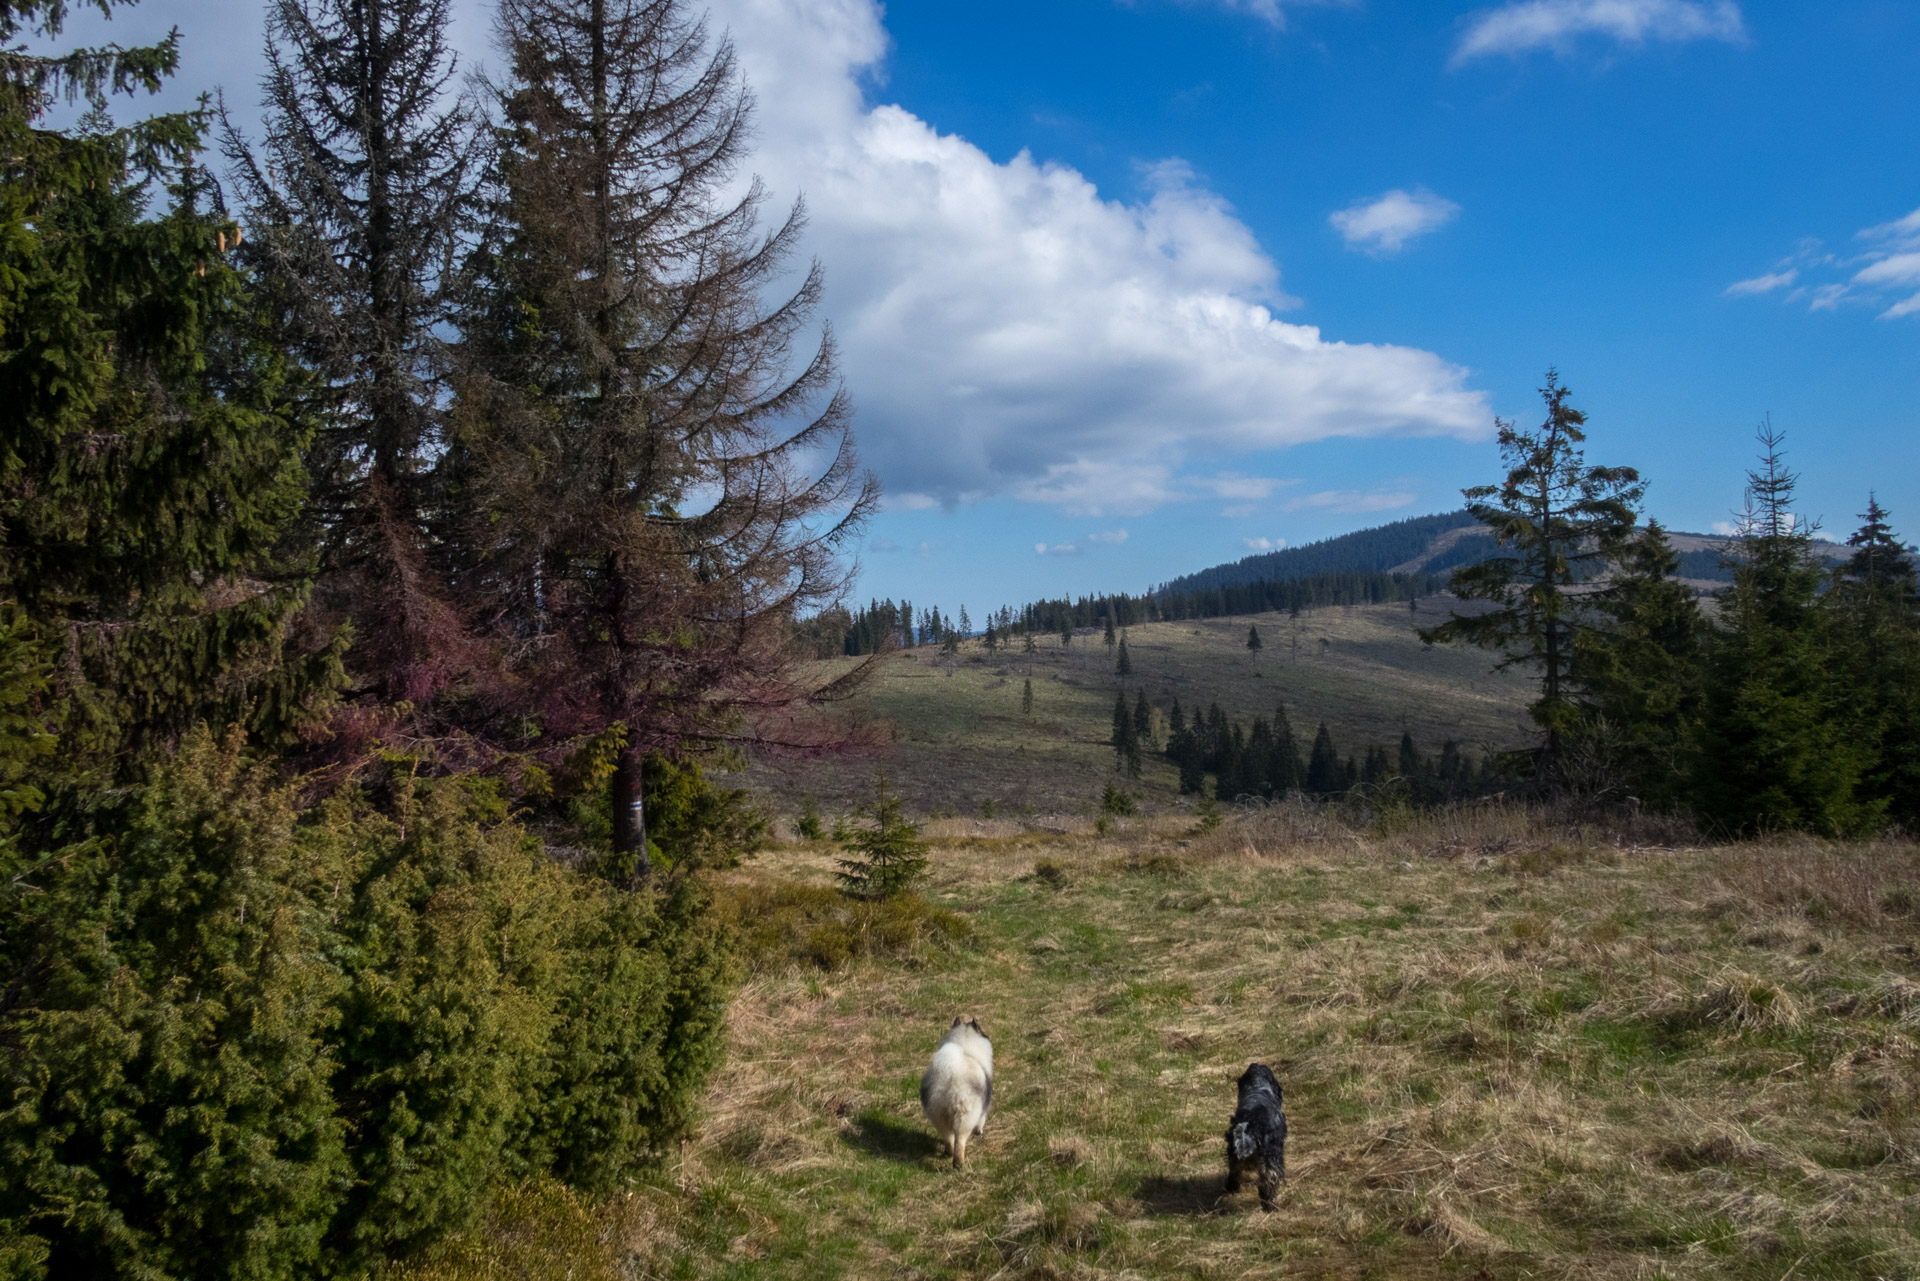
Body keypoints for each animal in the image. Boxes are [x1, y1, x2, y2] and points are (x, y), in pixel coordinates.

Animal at [921, 1014, 998, 1167]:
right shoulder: (983, 1108)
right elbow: (982, 1119)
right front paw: (979, 1131)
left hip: (938, 1114)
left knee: (948, 1137)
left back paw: (948, 1153)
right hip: (965, 1116)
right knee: (960, 1140)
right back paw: (958, 1163)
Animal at [1221, 1060, 1282, 1213]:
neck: (1257, 1087)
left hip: (1233, 1149)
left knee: (1234, 1171)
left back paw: (1232, 1188)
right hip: (1270, 1157)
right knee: (1267, 1185)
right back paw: (1270, 1206)